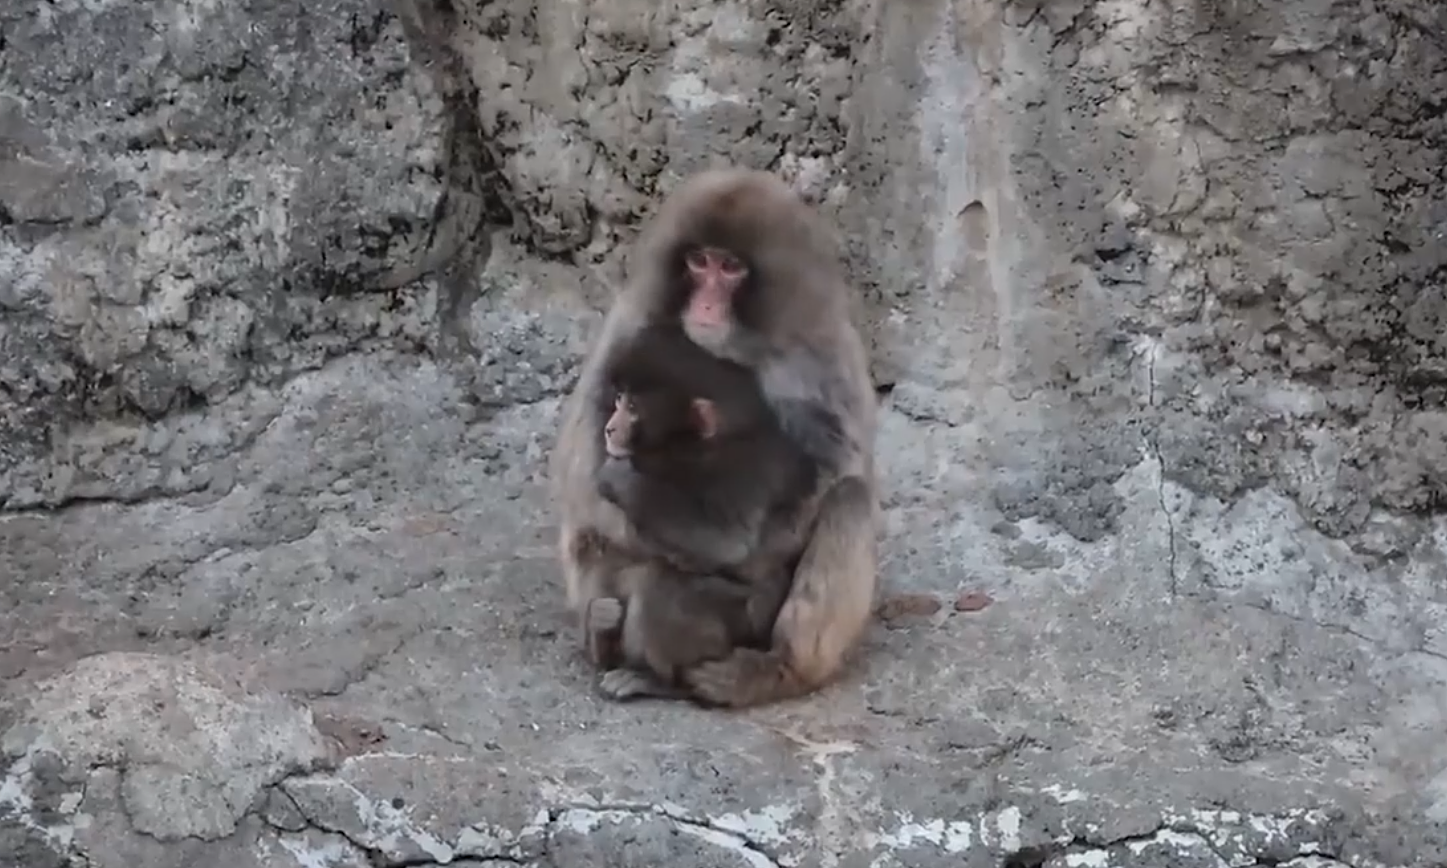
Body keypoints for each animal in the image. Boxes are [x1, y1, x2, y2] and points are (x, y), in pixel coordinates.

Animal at [552, 166, 878, 708]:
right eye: (698, 261)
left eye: (730, 268)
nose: (705, 302)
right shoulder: (630, 322)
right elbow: (583, 476)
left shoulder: (822, 348)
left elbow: (838, 465)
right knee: (592, 534)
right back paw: (603, 640)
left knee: (850, 498)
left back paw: (776, 669)